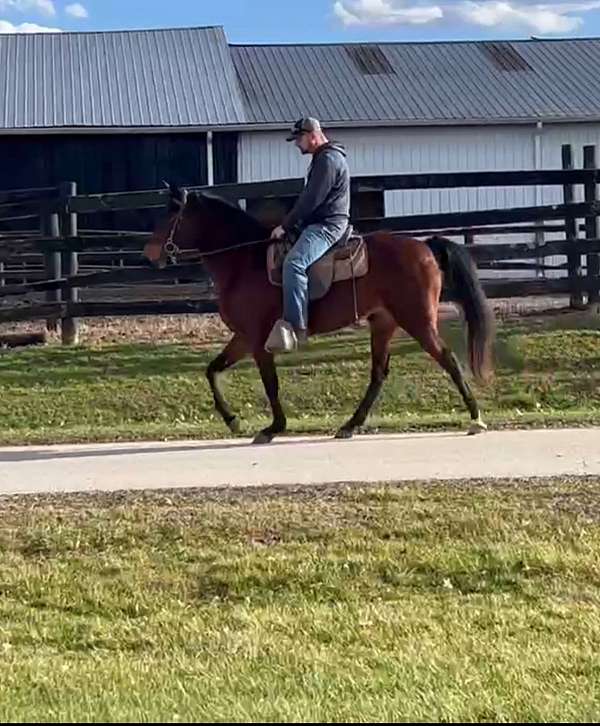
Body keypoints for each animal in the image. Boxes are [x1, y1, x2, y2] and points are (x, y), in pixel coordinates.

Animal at [143, 188, 494, 444]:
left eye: (172, 215)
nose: (150, 253)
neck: (244, 260)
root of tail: (424, 247)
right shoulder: (243, 337)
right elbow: (212, 370)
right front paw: (232, 420)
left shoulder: (258, 339)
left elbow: (270, 384)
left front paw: (273, 427)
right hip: (383, 322)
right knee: (378, 374)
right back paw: (350, 425)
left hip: (417, 320)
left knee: (448, 359)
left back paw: (475, 419)